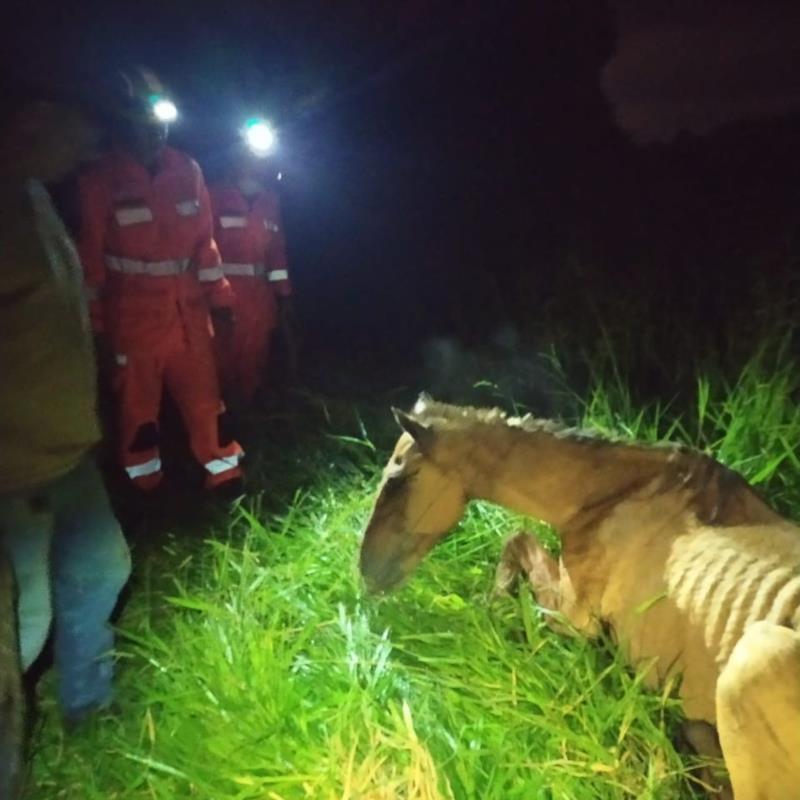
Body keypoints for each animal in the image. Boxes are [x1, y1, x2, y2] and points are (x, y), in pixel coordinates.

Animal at [360, 396, 800, 800]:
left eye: (400, 478)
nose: (365, 573)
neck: (613, 497)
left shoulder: (574, 620)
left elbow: (515, 543)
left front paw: (496, 612)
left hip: (752, 663)